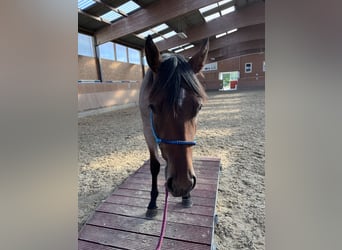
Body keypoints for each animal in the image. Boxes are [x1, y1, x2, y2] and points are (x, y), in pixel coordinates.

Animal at [139, 35, 208, 217]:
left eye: (199, 107)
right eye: (153, 107)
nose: (182, 184)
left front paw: (187, 196)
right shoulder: (147, 132)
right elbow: (154, 166)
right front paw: (152, 203)